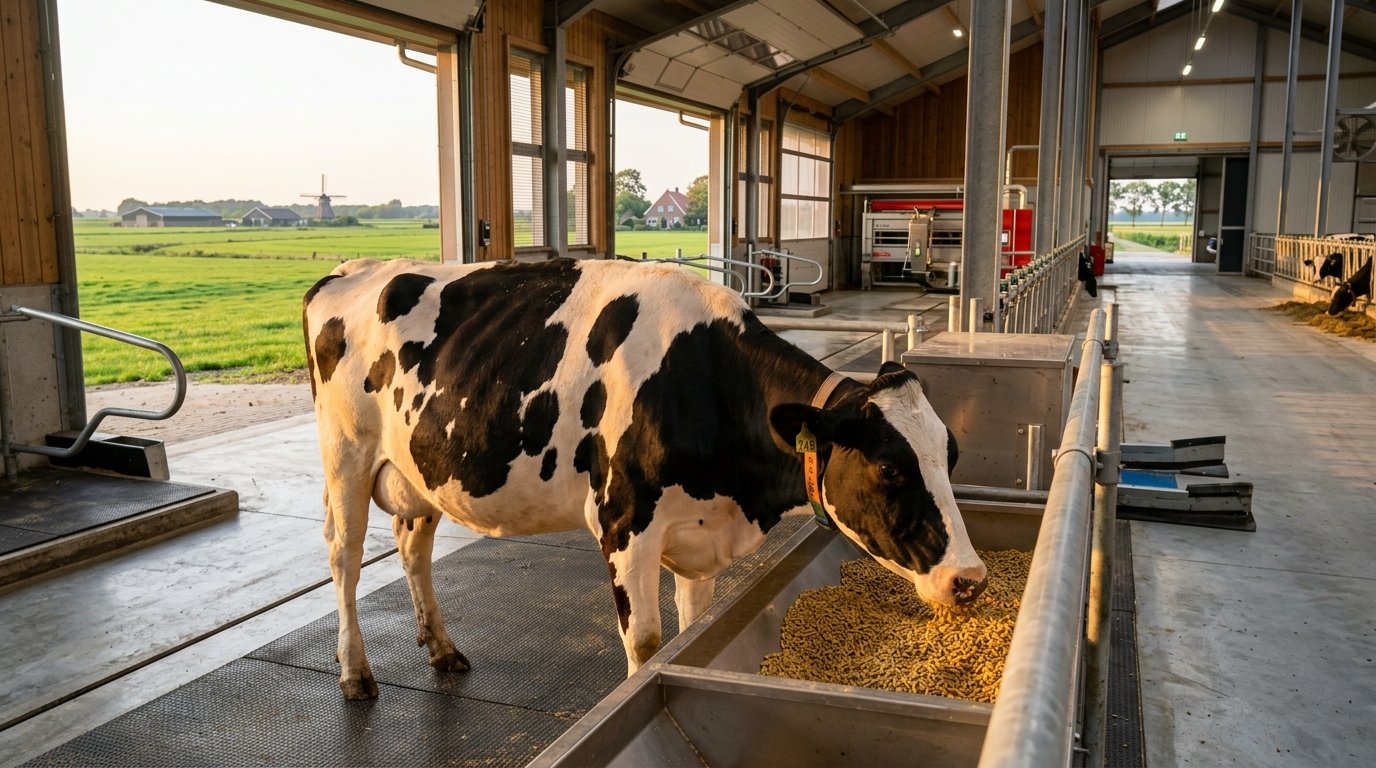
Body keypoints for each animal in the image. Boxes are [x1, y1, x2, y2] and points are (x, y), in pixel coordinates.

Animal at [303, 257, 987, 700]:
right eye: (890, 467)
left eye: (951, 455)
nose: (972, 580)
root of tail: (347, 270)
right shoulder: (624, 522)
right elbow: (647, 644)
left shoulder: (700, 532)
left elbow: (690, 630)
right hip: (345, 454)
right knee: (344, 555)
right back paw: (355, 673)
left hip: (419, 468)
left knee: (413, 546)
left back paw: (441, 648)